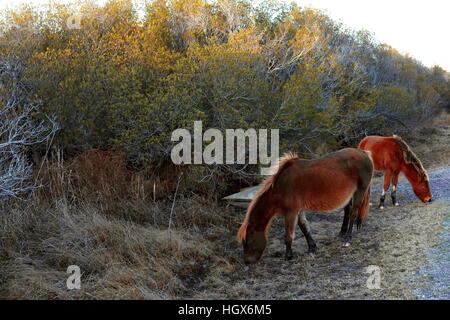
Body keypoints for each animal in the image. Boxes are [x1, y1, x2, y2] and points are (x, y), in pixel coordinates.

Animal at [237, 149, 374, 264]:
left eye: (248, 241)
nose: (247, 262)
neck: (281, 187)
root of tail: (364, 153)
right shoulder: (299, 210)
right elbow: (304, 227)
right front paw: (312, 247)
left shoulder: (291, 212)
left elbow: (288, 235)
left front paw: (288, 256)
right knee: (347, 210)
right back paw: (342, 232)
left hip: (359, 191)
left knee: (353, 214)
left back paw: (348, 238)